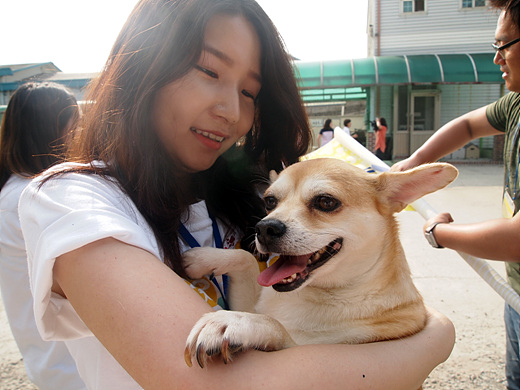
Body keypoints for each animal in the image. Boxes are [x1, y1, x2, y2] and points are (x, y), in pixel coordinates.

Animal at [184, 159, 460, 372]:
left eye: (326, 202)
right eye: (270, 202)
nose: (264, 227)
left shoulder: (307, 346)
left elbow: (276, 326)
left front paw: (232, 322)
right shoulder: (250, 299)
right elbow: (245, 259)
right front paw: (200, 258)